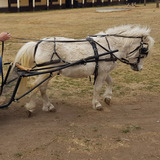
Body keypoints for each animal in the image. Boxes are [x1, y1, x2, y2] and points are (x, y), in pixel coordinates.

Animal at [13, 24, 154, 112]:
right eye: (144, 51)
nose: (139, 68)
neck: (110, 46)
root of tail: (38, 43)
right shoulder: (102, 73)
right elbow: (97, 88)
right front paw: (97, 104)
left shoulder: (103, 71)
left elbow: (110, 82)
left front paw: (108, 97)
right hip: (46, 73)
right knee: (35, 86)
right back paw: (31, 106)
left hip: (48, 73)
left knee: (42, 88)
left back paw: (48, 106)